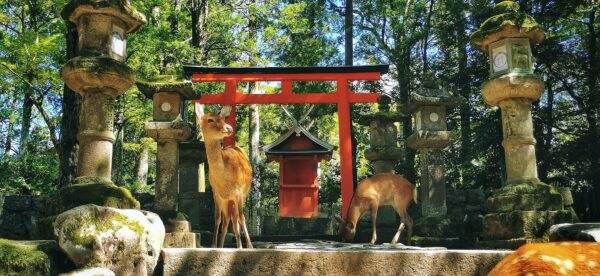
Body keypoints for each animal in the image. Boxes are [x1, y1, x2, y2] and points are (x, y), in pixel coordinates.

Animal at [202, 108, 253, 248]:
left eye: (223, 118)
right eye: (210, 119)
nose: (229, 128)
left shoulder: (239, 193)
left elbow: (242, 217)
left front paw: (250, 246)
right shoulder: (216, 194)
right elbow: (217, 218)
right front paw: (214, 246)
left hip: (243, 194)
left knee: (236, 218)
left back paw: (241, 245)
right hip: (227, 200)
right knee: (227, 219)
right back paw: (224, 245)